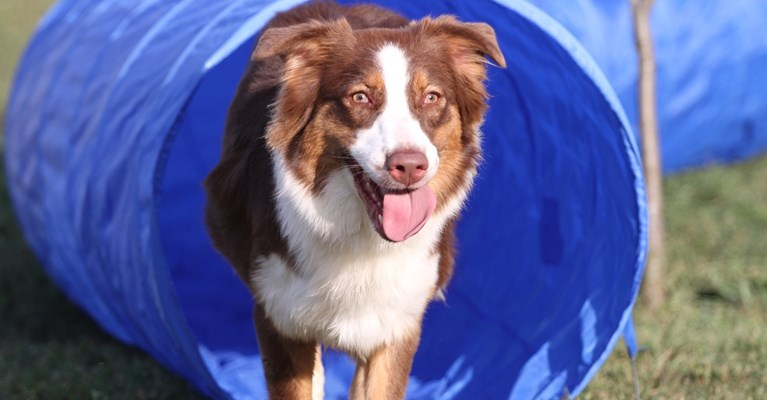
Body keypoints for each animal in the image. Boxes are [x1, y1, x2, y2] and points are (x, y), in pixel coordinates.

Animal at [204, 1, 504, 398]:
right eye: (360, 97)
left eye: (432, 97)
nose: (410, 166)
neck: (361, 237)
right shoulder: (279, 317)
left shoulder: (396, 326)